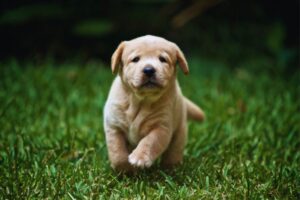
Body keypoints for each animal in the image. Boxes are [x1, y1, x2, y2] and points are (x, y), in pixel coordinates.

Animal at [103, 34, 204, 172]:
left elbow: (150, 141)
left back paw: (170, 168)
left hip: (180, 131)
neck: (141, 101)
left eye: (163, 59)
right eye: (135, 59)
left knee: (174, 151)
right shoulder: (114, 125)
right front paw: (125, 169)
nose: (149, 70)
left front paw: (139, 157)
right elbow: (117, 151)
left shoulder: (162, 127)